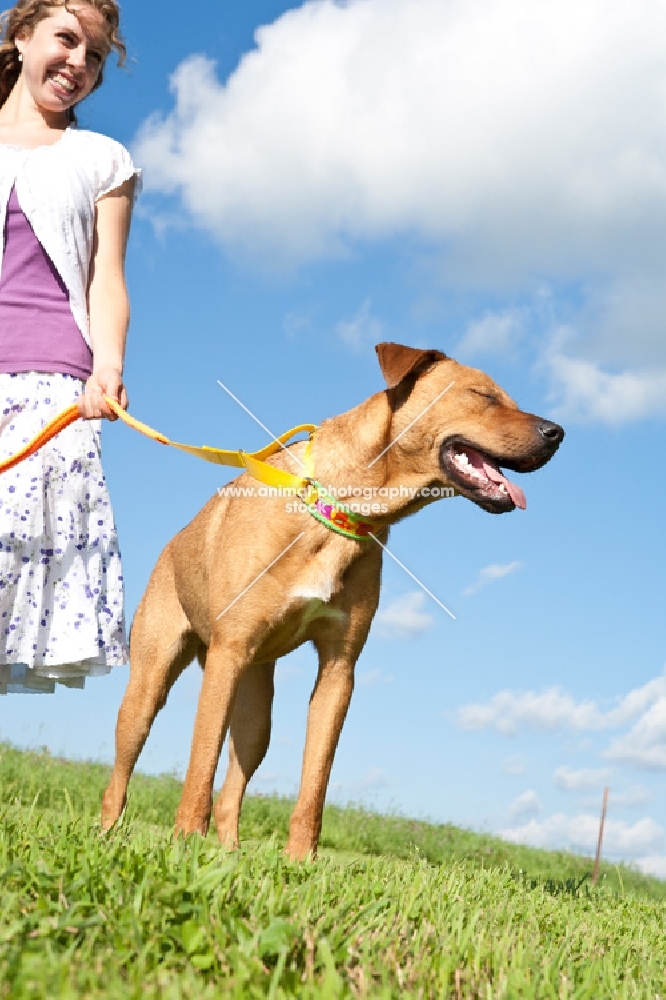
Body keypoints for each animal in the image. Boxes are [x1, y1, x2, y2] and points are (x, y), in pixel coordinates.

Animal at [101, 346, 564, 860]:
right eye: (482, 395)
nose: (557, 433)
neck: (340, 508)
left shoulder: (339, 670)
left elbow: (315, 781)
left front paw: (301, 861)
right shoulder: (228, 652)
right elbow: (201, 763)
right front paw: (185, 844)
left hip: (256, 708)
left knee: (235, 783)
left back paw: (229, 854)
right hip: (151, 685)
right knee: (122, 774)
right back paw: (110, 835)